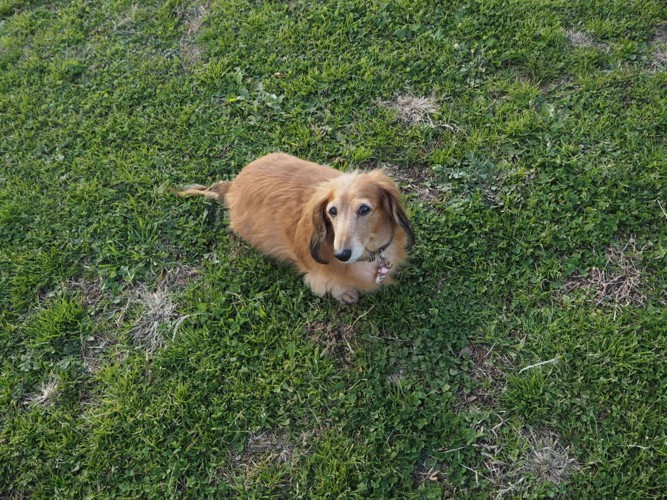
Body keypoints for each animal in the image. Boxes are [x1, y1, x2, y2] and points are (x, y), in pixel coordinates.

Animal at [180, 152, 414, 302]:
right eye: (332, 211)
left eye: (364, 209)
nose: (341, 255)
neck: (369, 254)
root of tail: (232, 186)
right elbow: (332, 285)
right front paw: (343, 293)